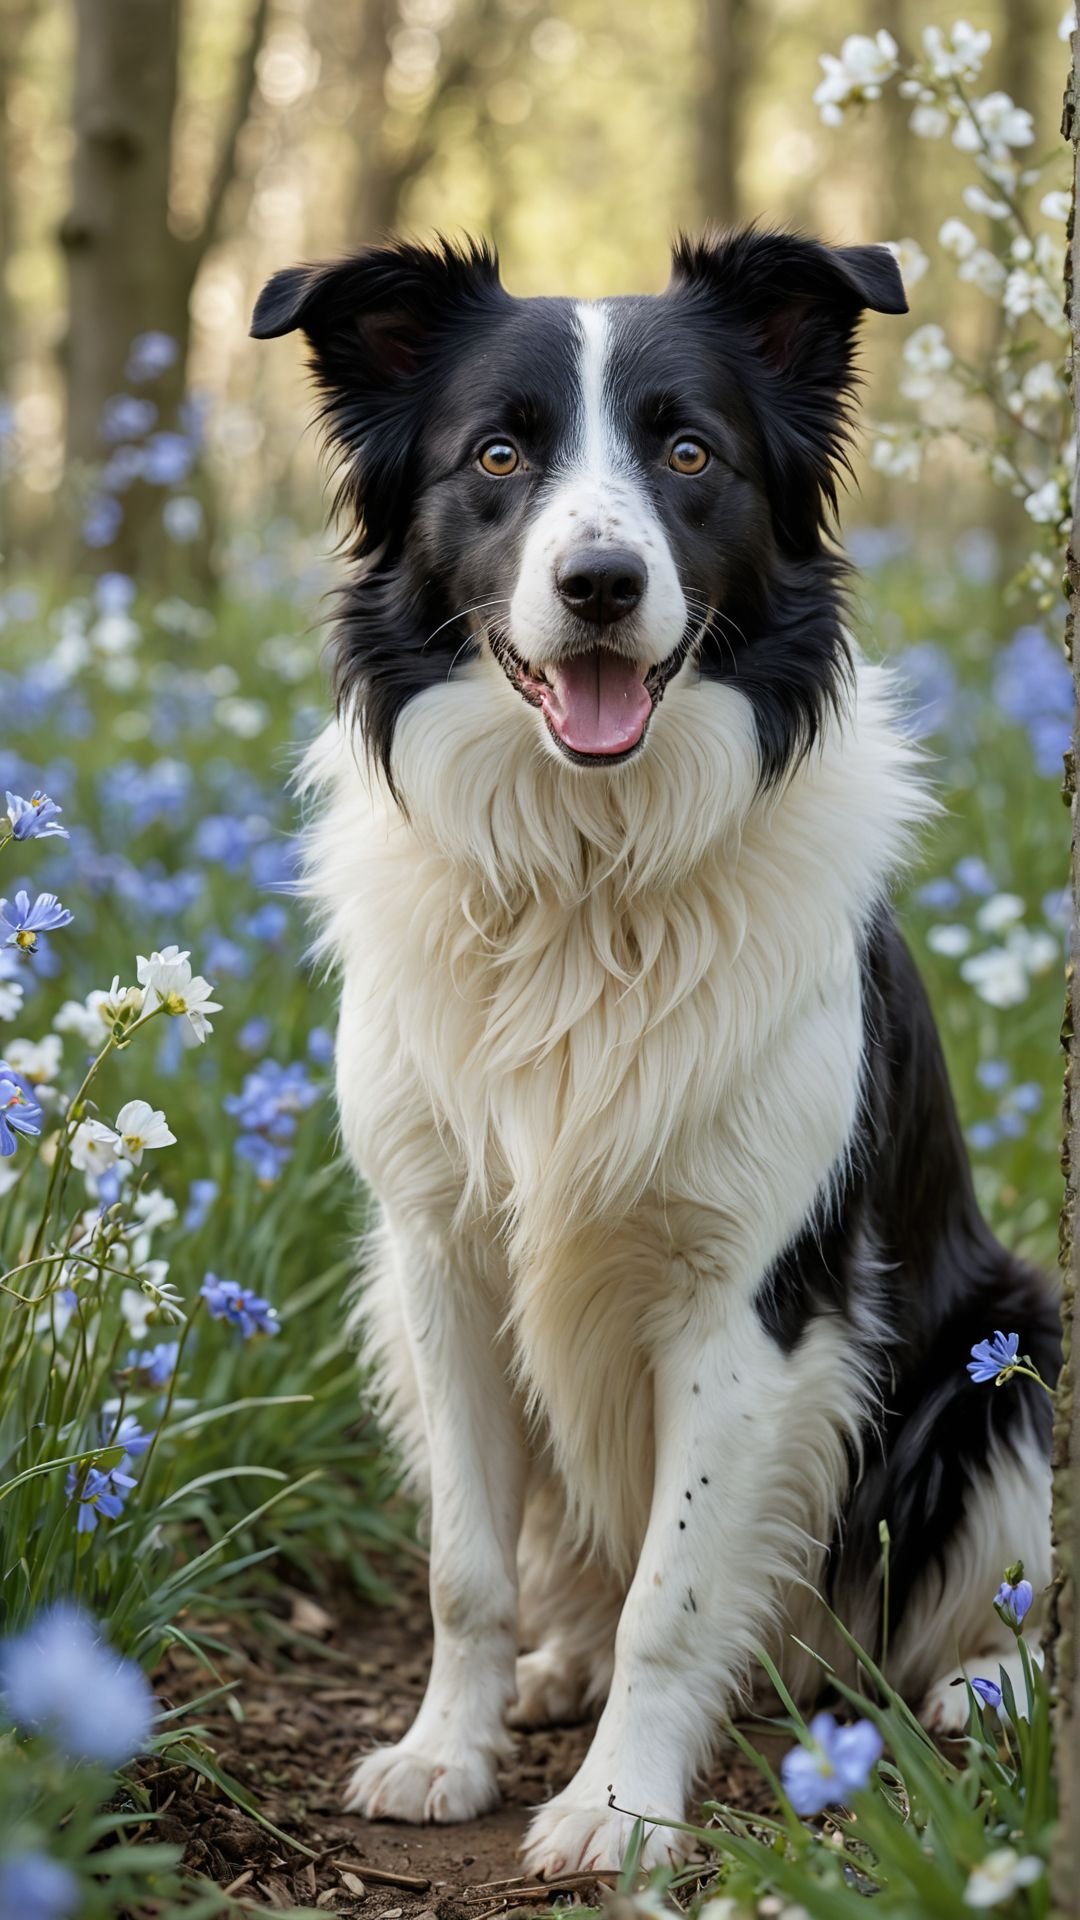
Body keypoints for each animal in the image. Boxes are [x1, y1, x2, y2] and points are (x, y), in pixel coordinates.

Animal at [253, 228, 1060, 1873]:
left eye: (690, 453)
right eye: (498, 456)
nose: (602, 583)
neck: (586, 880)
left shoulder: (752, 1300)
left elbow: (675, 1601)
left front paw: (616, 1811)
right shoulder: (440, 1262)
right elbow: (465, 1570)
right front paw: (449, 1752)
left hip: (1004, 1362)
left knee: (993, 1602)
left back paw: (978, 1689)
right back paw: (552, 1671)